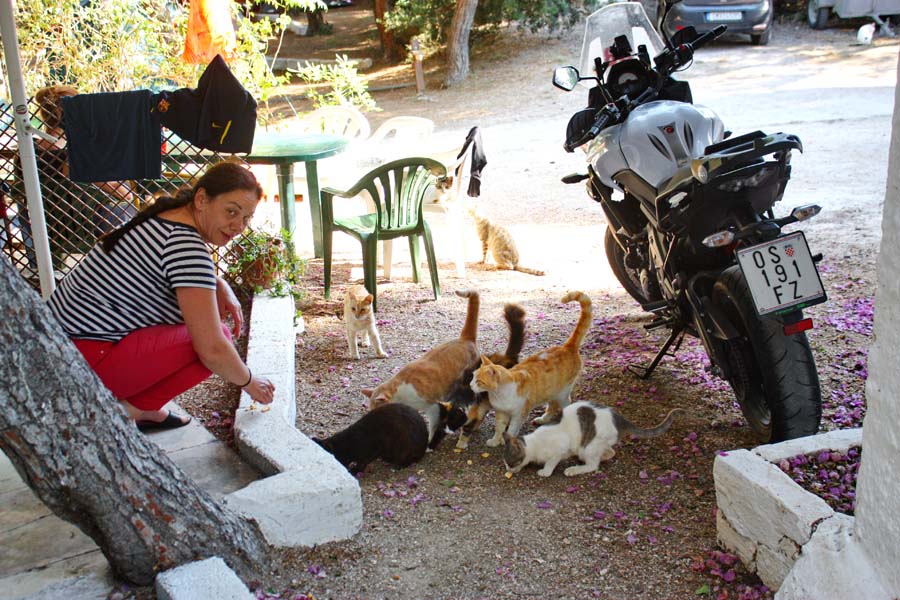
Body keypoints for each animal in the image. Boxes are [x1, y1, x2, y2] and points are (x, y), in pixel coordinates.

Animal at [361, 289, 480, 444]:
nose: (374, 419)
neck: (401, 393)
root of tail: (465, 339)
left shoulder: (433, 407)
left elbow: (433, 426)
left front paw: (429, 441)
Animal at [470, 291, 592, 447]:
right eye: (472, 376)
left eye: (478, 381)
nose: (470, 385)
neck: (499, 394)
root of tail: (567, 346)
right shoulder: (501, 414)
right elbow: (499, 429)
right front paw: (495, 441)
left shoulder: (518, 415)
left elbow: (511, 431)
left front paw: (508, 443)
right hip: (550, 392)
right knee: (552, 406)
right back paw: (543, 419)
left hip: (562, 393)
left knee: (565, 404)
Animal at [502, 401, 683, 477]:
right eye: (506, 463)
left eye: (511, 462)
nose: (508, 469)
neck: (534, 445)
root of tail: (619, 418)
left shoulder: (559, 447)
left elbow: (551, 463)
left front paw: (545, 472)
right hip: (596, 444)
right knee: (610, 452)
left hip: (588, 446)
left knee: (594, 465)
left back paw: (574, 469)